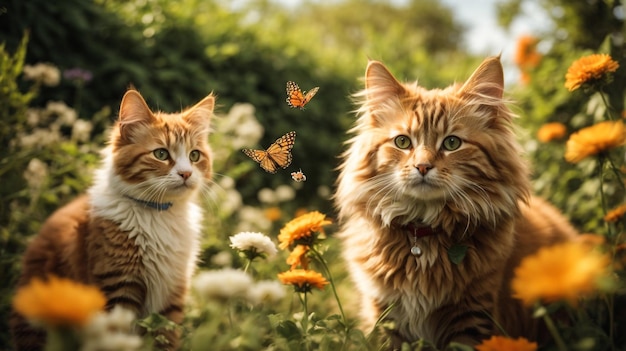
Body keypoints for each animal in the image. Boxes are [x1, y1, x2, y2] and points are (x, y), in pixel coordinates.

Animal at [9, 89, 214, 350]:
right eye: (161, 154)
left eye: (194, 155)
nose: (186, 173)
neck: (159, 214)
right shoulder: (118, 290)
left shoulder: (172, 296)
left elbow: (166, 339)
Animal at [334, 57, 576, 350]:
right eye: (402, 142)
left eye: (452, 143)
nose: (422, 166)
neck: (422, 240)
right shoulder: (385, 318)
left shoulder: (472, 316)